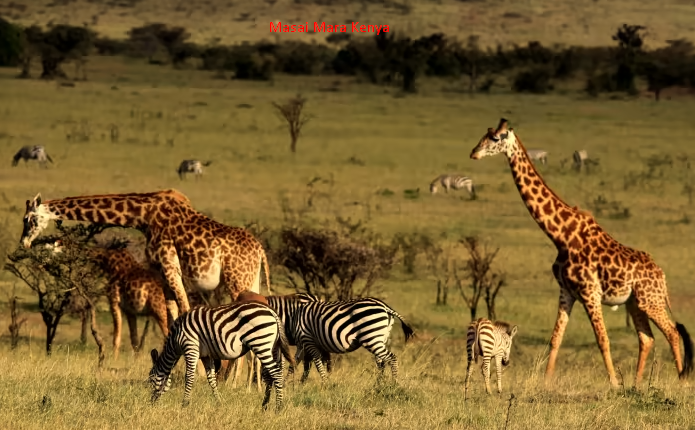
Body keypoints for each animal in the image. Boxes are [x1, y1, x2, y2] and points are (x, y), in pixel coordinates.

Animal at [18, 188, 270, 322]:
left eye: (28, 219)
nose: (24, 243)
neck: (143, 216)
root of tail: (260, 251)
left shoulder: (169, 266)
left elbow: (185, 310)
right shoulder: (161, 272)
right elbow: (173, 314)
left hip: (237, 281)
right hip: (251, 280)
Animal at [149, 300, 294, 412]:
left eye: (150, 380)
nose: (150, 404)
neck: (176, 339)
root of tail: (272, 312)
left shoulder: (191, 348)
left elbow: (189, 377)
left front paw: (184, 404)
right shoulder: (206, 356)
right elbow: (211, 379)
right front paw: (219, 402)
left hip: (260, 344)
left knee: (276, 374)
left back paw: (278, 407)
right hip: (272, 347)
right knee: (270, 376)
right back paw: (264, 406)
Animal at [470, 117, 692, 386]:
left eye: (495, 138)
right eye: (485, 134)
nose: (474, 153)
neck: (560, 236)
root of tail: (662, 276)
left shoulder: (590, 292)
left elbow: (602, 339)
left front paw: (614, 384)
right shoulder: (566, 291)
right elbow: (555, 338)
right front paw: (546, 382)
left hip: (651, 301)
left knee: (672, 331)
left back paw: (682, 379)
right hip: (634, 303)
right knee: (647, 338)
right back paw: (637, 383)